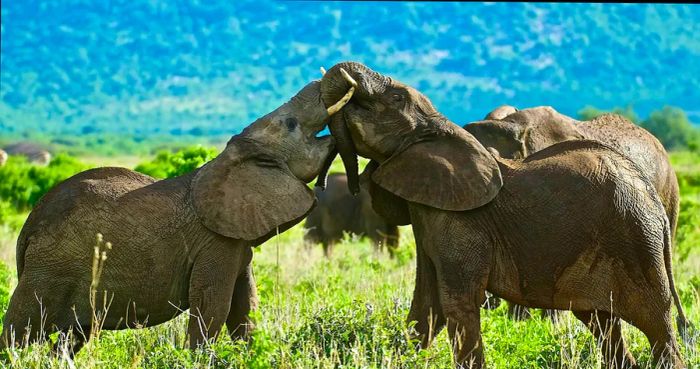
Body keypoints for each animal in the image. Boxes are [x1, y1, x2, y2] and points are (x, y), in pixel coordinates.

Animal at [1, 79, 356, 352]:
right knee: (20, 328)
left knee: (71, 338)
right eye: (291, 124)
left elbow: (246, 308)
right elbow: (213, 308)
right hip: (49, 268)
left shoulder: (237, 241)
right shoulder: (215, 243)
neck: (230, 159)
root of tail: (28, 227)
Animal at [318, 61, 688, 368]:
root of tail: (653, 199)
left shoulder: (462, 222)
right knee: (604, 325)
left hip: (638, 240)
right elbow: (426, 307)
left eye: (395, 98)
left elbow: (457, 303)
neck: (444, 131)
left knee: (656, 324)